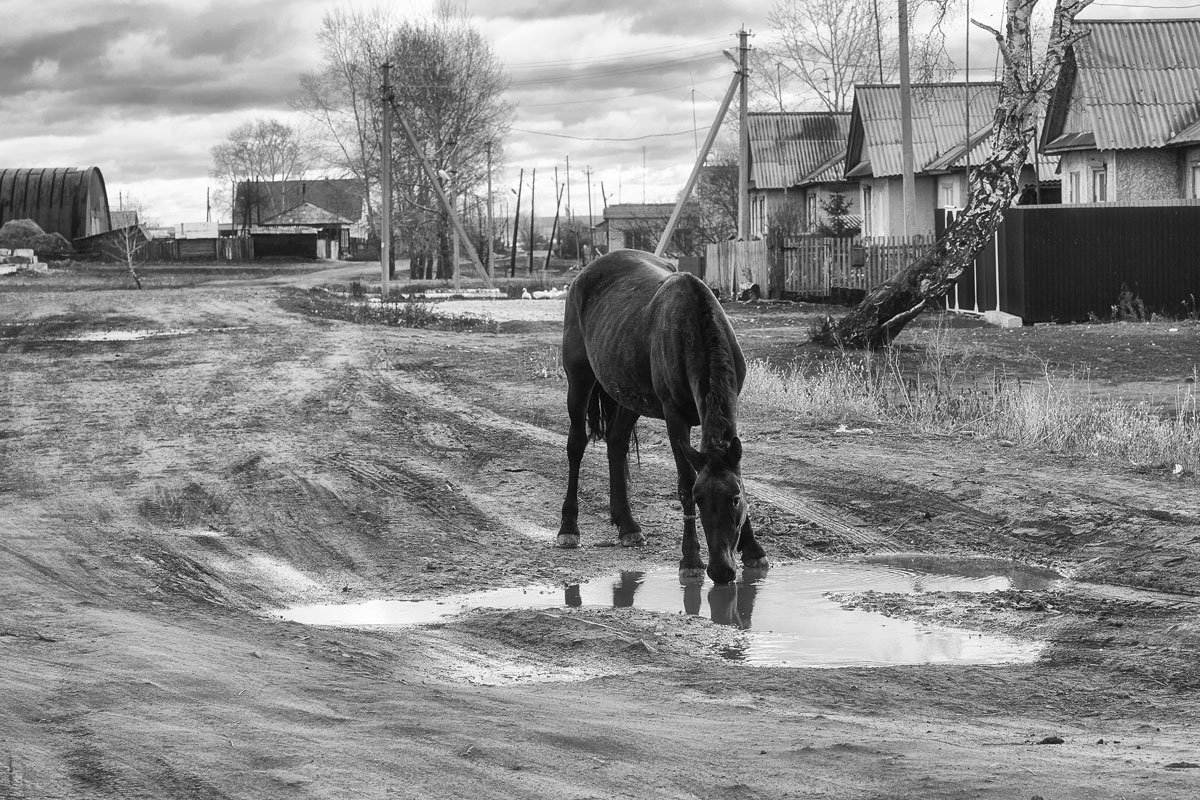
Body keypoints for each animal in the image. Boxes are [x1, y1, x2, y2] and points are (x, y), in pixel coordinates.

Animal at [554, 247, 768, 585]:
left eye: (735, 499)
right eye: (699, 499)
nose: (721, 570)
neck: (694, 327)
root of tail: (583, 275)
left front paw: (753, 549)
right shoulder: (674, 418)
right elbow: (683, 482)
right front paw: (691, 559)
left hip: (628, 396)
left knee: (616, 444)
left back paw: (627, 525)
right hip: (579, 379)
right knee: (576, 445)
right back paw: (569, 529)